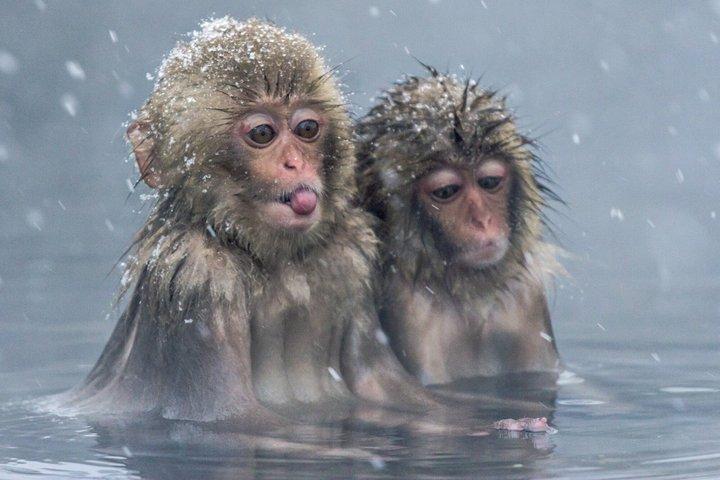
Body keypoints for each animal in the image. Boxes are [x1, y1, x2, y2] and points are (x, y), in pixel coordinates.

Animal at [54, 17, 435, 424]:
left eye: (307, 129)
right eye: (262, 133)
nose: (294, 164)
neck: (276, 264)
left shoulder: (349, 263)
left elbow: (386, 385)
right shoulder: (198, 280)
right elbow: (226, 415)